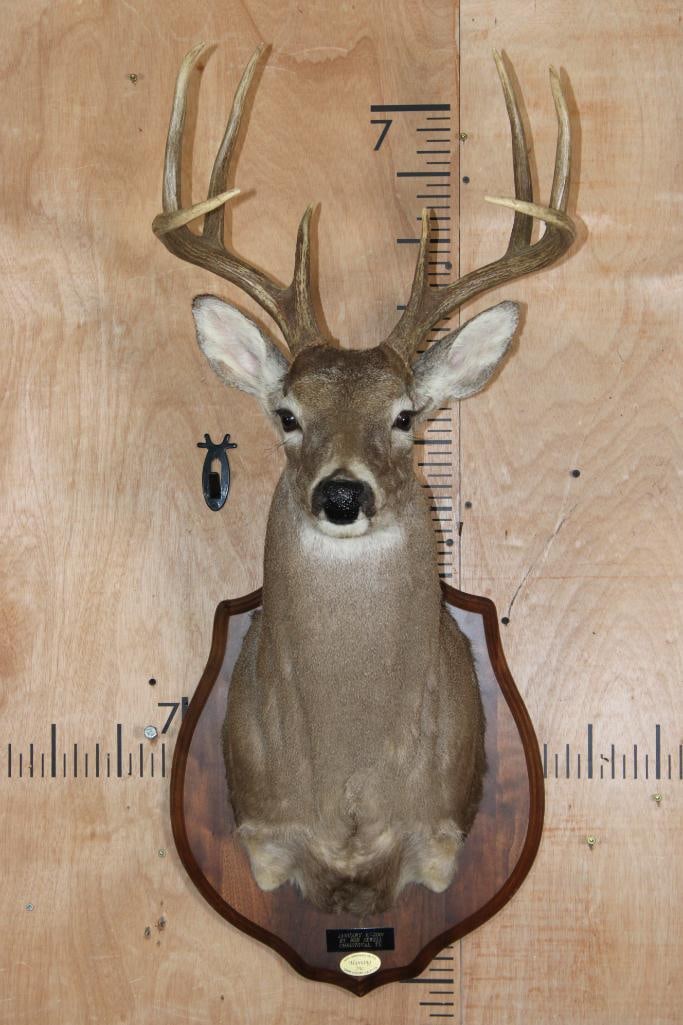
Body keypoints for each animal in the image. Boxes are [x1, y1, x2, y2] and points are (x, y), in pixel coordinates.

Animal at [153, 43, 574, 915]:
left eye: (407, 414)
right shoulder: (262, 833)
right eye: (285, 413)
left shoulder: (443, 834)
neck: (349, 792)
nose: (341, 494)